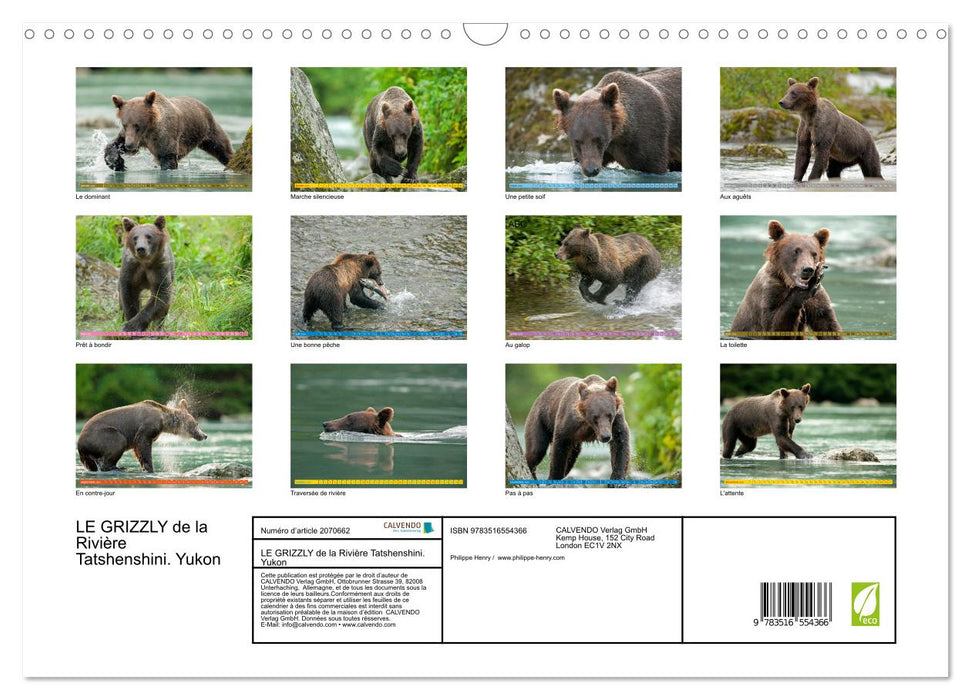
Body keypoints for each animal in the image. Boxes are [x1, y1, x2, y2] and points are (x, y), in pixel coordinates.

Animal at [77, 398, 208, 472]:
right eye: (196, 424)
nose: (204, 435)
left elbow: (138, 449)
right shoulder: (147, 426)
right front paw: (150, 467)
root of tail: (79, 443)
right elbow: (142, 443)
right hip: (100, 435)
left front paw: (144, 466)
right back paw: (118, 468)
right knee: (118, 441)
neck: (163, 420)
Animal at [104, 91, 234, 171]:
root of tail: (202, 104)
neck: (149, 130)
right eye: (124, 125)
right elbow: (114, 143)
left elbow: (168, 157)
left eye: (137, 125)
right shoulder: (135, 137)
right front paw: (116, 162)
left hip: (208, 129)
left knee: (222, 149)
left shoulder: (163, 136)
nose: (129, 145)